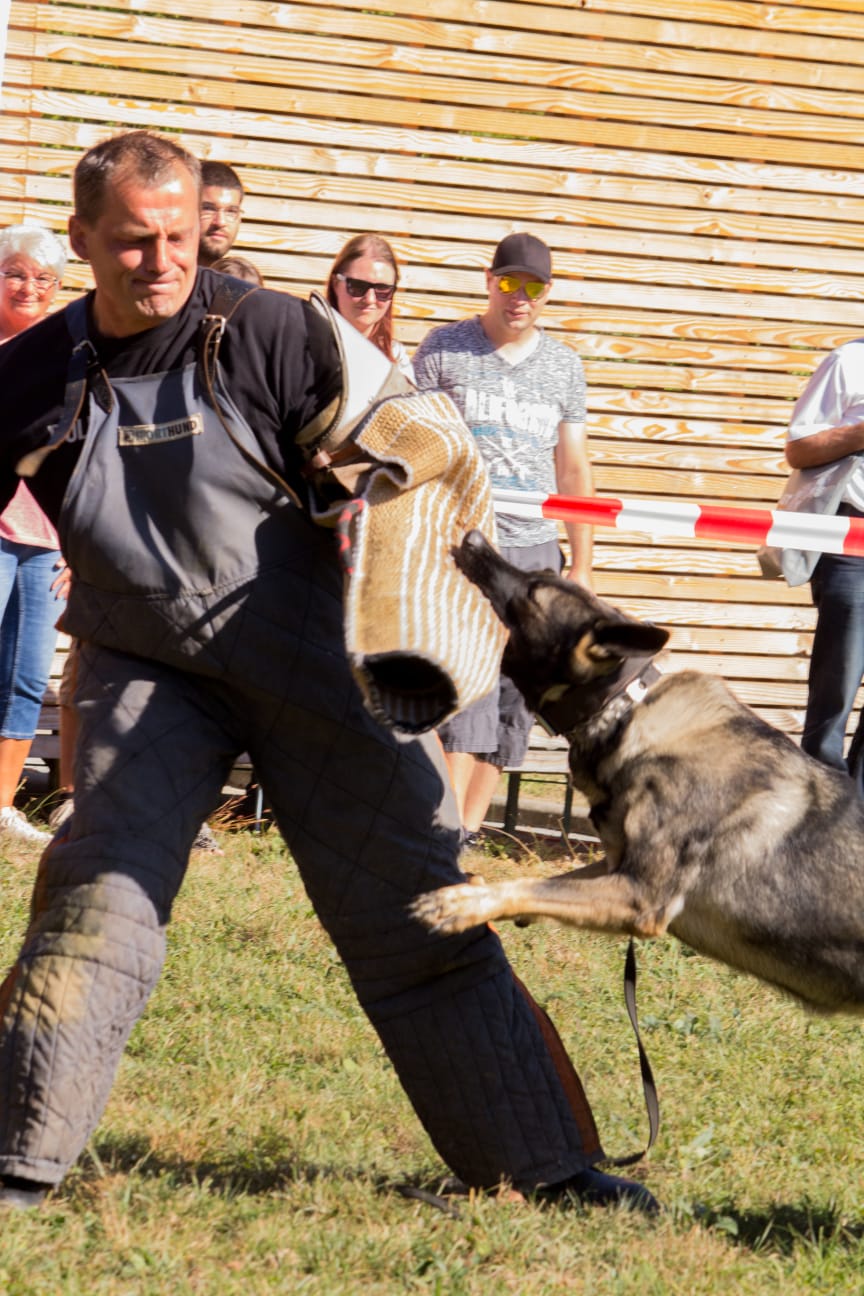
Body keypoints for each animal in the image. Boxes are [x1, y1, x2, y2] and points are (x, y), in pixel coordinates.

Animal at [411, 526, 864, 1010]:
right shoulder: (617, 870)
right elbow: (544, 881)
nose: (474, 537)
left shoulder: (641, 897)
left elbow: (527, 885)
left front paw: (461, 905)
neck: (623, 710)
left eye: (535, 590)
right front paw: (478, 892)